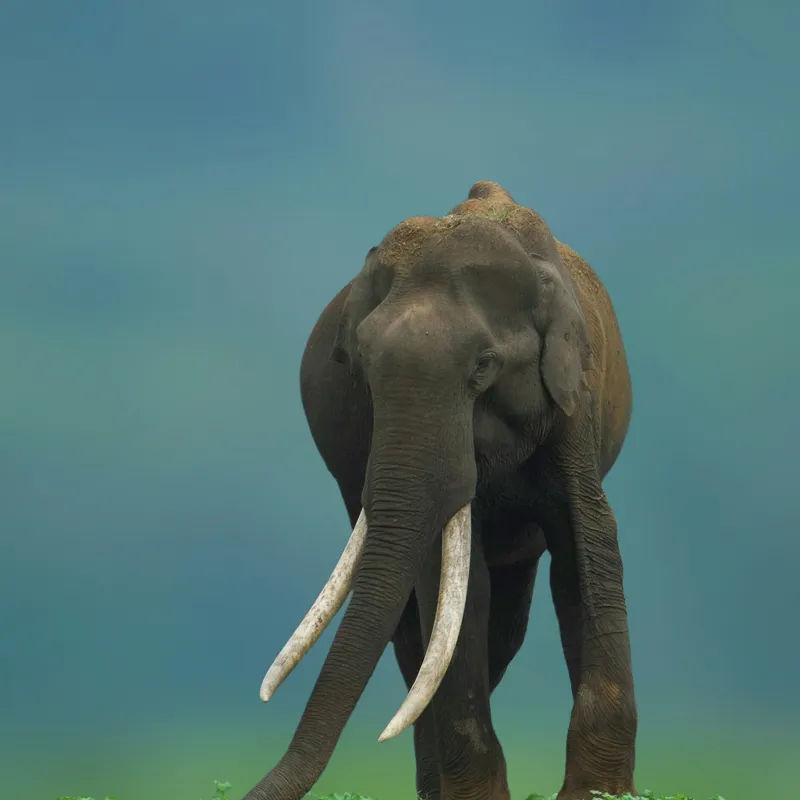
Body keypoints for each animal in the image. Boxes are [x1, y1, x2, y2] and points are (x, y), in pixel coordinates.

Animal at [244, 181, 638, 800]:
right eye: (362, 367)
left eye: (483, 366)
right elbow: (450, 587)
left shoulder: (575, 405)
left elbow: (588, 547)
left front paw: (595, 793)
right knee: (423, 638)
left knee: (505, 624)